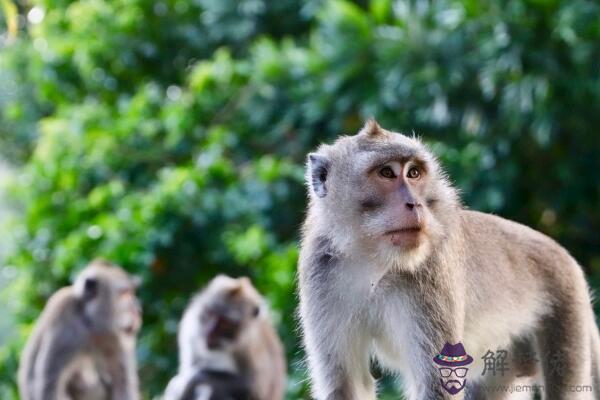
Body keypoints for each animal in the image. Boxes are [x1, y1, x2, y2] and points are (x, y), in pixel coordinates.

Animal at [17, 260, 142, 400]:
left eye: (132, 292)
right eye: (125, 294)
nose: (138, 310)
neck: (90, 323)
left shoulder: (114, 338)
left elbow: (122, 382)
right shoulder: (65, 322)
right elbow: (49, 385)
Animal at [298, 119, 596, 400]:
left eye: (413, 173)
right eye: (386, 173)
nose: (415, 203)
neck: (373, 260)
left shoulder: (431, 269)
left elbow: (438, 383)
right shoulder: (319, 271)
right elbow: (344, 383)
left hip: (565, 309)